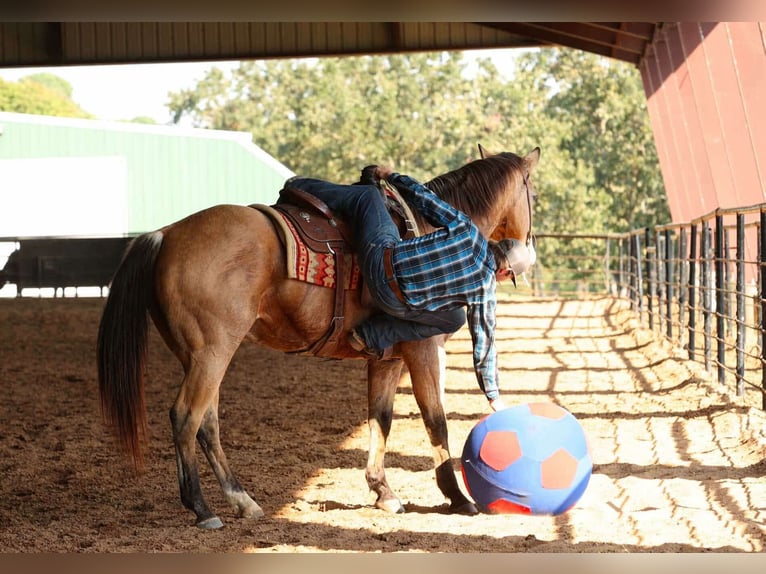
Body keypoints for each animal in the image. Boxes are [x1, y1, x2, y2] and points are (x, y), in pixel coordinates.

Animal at [97, 145, 540, 528]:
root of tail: (166, 234)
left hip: (201, 357)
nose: (527, 250)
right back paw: (202, 508)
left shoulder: (388, 359)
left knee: (207, 424)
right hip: (212, 354)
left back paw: (242, 500)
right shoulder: (422, 351)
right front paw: (458, 497)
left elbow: (380, 419)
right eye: (532, 192)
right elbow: (436, 421)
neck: (430, 226)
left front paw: (383, 492)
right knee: (186, 417)